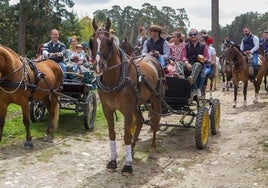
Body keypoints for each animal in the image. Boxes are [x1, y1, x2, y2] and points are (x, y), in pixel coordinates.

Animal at [90, 18, 165, 176]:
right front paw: (113, 161)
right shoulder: (107, 109)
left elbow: (126, 134)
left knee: (155, 121)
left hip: (155, 99)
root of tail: (152, 57)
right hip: (137, 103)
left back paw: (153, 148)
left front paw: (128, 165)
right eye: (92, 41)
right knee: (141, 121)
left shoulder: (128, 108)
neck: (114, 79)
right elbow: (112, 134)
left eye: (109, 41)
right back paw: (133, 146)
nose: (98, 66)